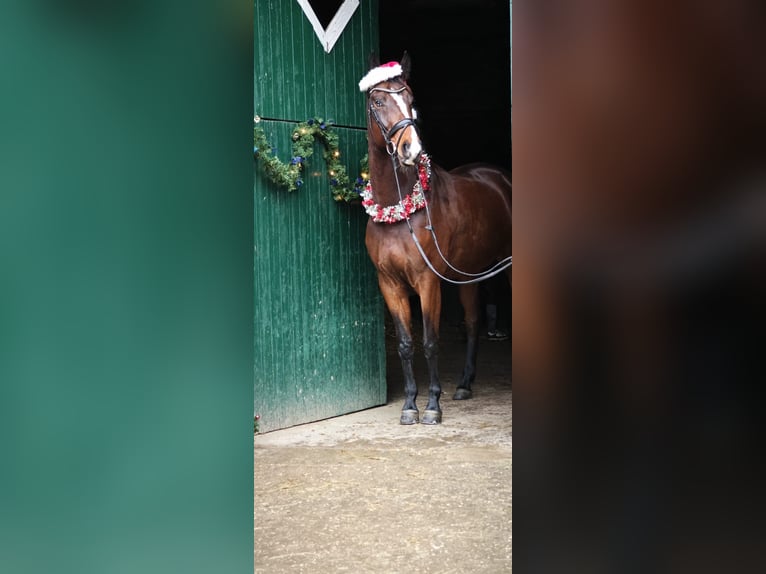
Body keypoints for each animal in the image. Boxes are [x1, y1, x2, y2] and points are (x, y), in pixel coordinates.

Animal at [362, 54, 516, 426]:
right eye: (378, 101)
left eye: (411, 99)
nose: (411, 149)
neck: (397, 211)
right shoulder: (389, 283)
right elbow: (406, 344)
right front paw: (409, 405)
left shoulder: (427, 281)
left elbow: (430, 342)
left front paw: (432, 405)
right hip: (469, 275)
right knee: (473, 324)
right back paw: (464, 384)